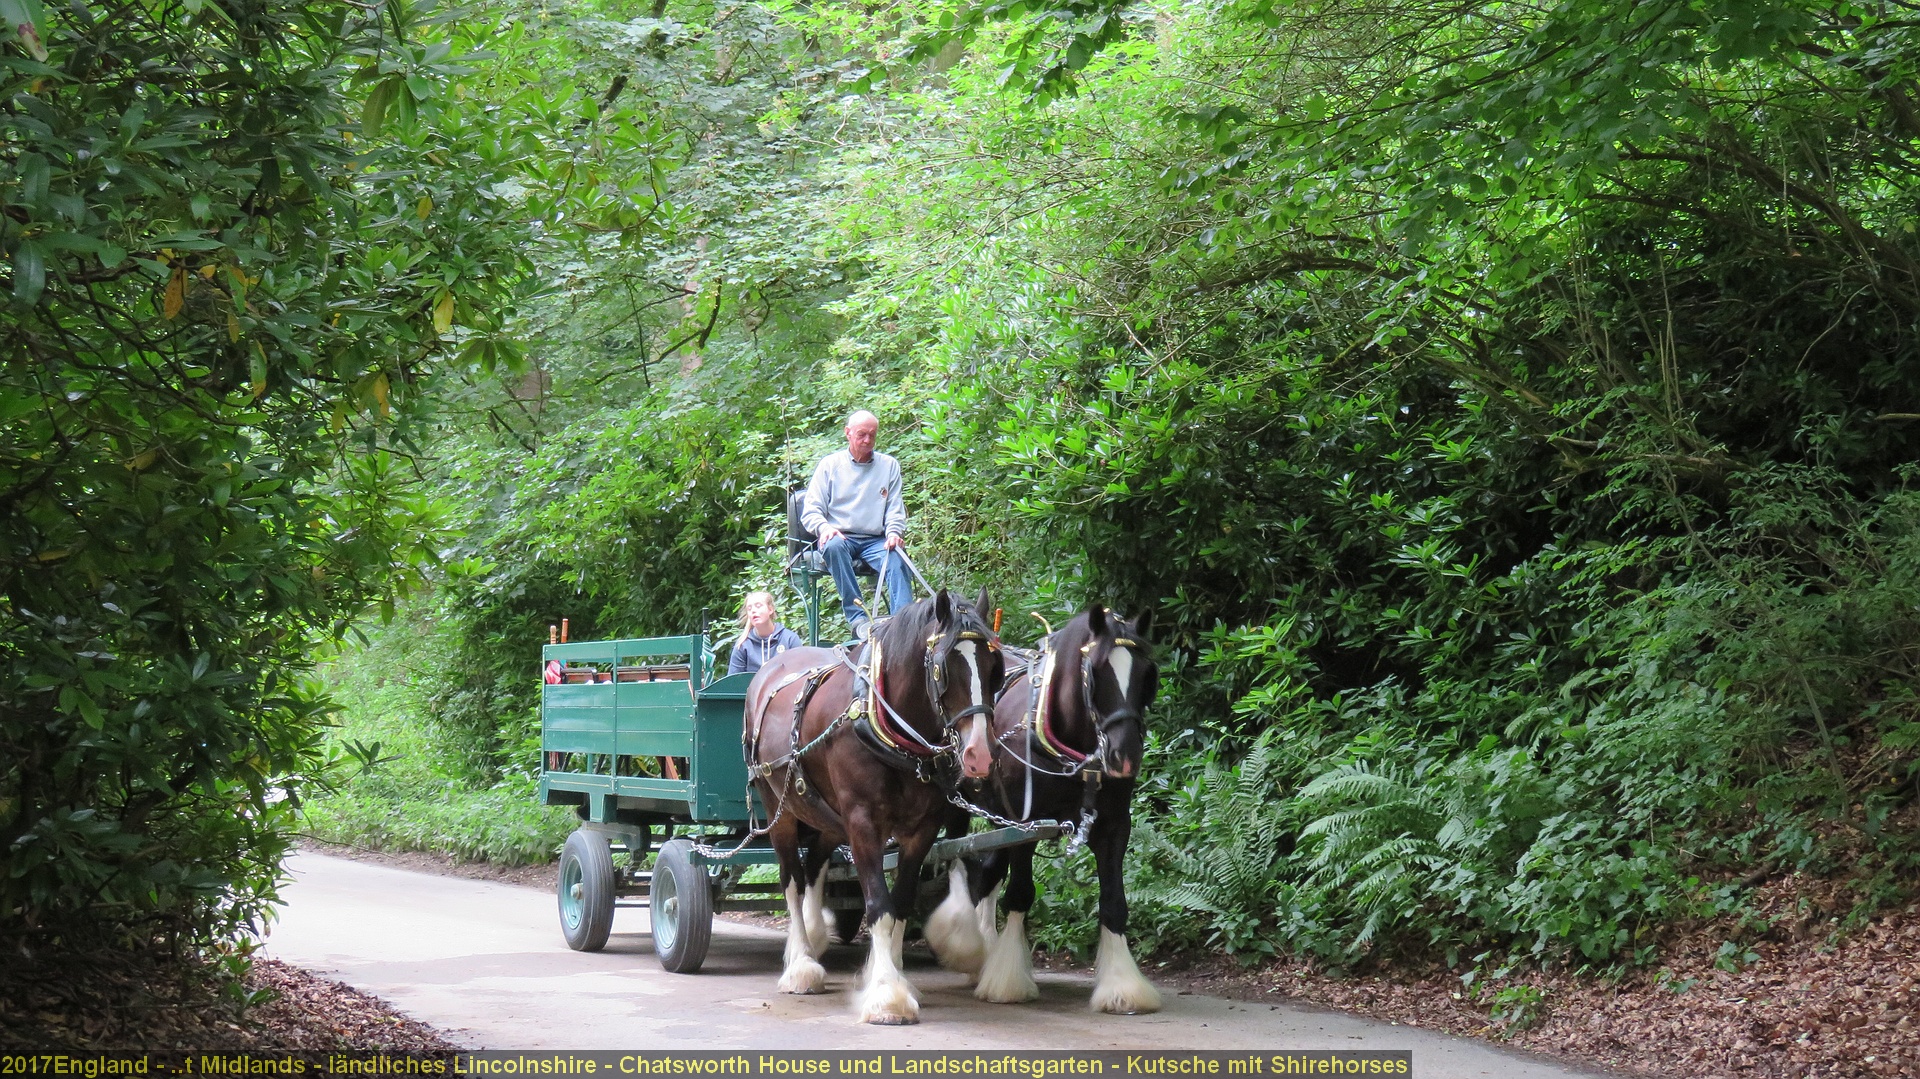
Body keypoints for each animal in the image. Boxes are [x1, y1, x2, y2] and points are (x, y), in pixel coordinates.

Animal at [743, 587, 1002, 1024]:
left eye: (992, 666)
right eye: (945, 667)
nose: (979, 755)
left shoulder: (922, 830)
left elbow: (901, 904)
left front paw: (898, 978)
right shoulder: (863, 823)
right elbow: (879, 906)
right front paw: (886, 995)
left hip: (825, 817)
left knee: (814, 868)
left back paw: (814, 940)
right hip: (779, 809)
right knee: (792, 880)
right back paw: (801, 965)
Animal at [965, 603, 1163, 1014]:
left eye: (1145, 674)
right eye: (1097, 672)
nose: (1125, 756)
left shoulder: (1113, 826)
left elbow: (1114, 902)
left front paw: (1122, 987)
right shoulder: (1023, 826)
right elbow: (1020, 894)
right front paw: (1008, 981)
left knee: (986, 874)